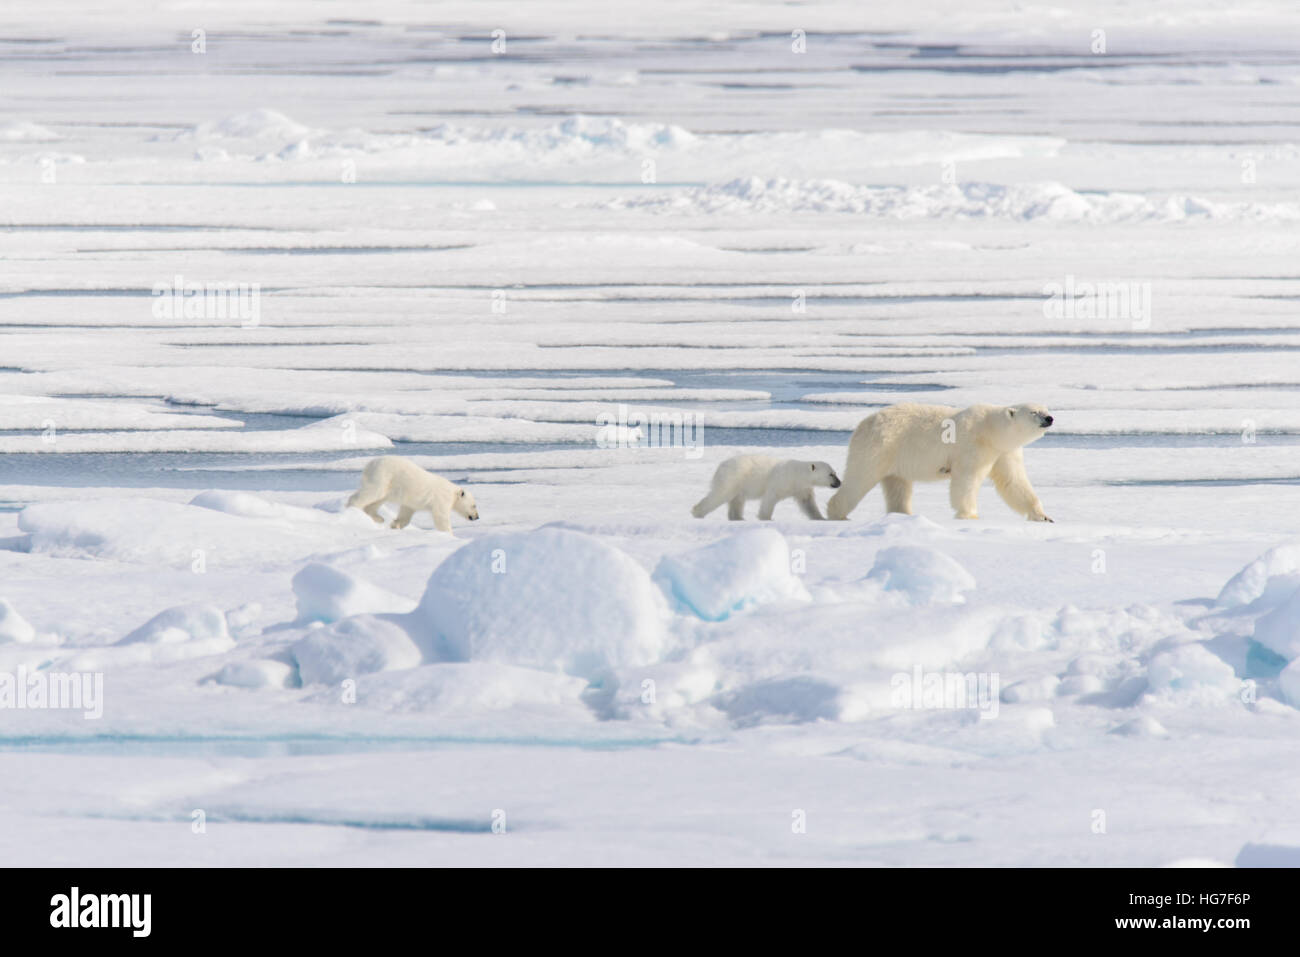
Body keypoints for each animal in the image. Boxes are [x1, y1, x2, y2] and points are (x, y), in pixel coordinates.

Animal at [346, 455, 479, 532]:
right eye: (474, 505)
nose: (477, 517)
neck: (452, 492)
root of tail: (369, 465)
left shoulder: (411, 502)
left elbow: (406, 513)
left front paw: (395, 524)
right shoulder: (441, 499)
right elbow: (441, 517)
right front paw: (450, 535)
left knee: (378, 499)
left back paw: (378, 518)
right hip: (383, 476)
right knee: (373, 492)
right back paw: (353, 509)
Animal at [692, 454, 841, 520]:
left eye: (835, 472)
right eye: (831, 474)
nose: (839, 483)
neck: (797, 474)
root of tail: (721, 465)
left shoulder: (802, 488)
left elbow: (808, 504)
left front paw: (821, 518)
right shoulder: (780, 481)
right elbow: (770, 498)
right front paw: (766, 518)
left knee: (737, 501)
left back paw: (738, 518)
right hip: (734, 477)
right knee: (720, 494)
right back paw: (697, 512)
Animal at [824, 402, 1054, 522]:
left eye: (1046, 408)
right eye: (1034, 412)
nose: (1049, 418)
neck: (991, 430)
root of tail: (863, 424)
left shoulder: (1004, 452)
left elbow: (1013, 482)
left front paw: (1043, 516)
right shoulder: (972, 446)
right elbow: (966, 480)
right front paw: (969, 516)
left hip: (895, 457)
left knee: (898, 487)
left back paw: (904, 515)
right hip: (880, 447)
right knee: (860, 477)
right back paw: (838, 514)